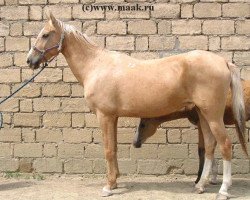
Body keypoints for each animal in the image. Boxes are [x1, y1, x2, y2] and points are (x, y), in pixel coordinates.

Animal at [26, 12, 245, 198]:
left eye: (45, 34)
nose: (30, 60)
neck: (96, 65)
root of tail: (224, 62)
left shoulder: (104, 116)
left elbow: (108, 149)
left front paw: (108, 187)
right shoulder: (112, 117)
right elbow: (113, 148)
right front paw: (115, 181)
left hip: (213, 116)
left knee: (225, 145)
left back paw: (223, 190)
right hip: (203, 114)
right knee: (209, 146)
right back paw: (200, 185)